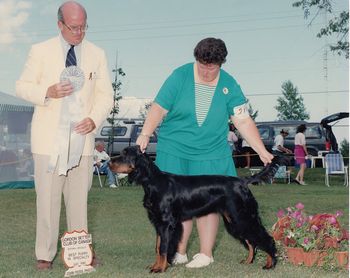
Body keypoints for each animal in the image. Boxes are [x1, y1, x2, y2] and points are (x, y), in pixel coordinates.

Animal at [110, 147, 284, 272]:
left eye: (125, 154)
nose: (109, 162)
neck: (154, 182)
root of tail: (242, 181)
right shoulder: (158, 223)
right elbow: (158, 247)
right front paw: (155, 265)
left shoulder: (166, 223)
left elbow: (163, 248)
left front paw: (160, 268)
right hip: (235, 220)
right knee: (251, 241)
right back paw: (248, 261)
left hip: (243, 216)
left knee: (265, 238)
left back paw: (270, 264)